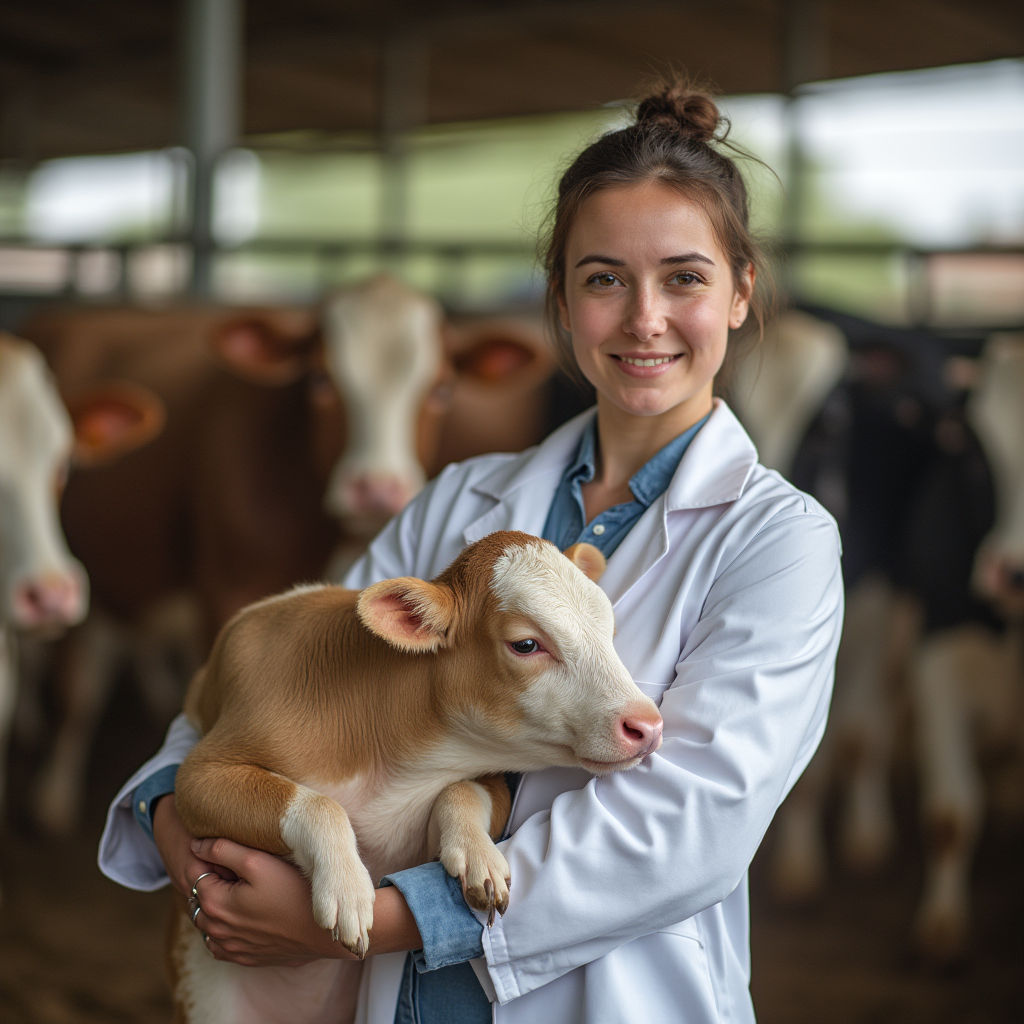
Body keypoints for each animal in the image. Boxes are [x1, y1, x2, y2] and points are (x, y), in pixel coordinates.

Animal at [172, 536, 659, 1024]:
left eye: (610, 632)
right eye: (525, 644)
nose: (647, 724)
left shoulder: (475, 791)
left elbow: (461, 789)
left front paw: (479, 857)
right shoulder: (199, 775)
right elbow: (318, 803)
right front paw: (346, 889)